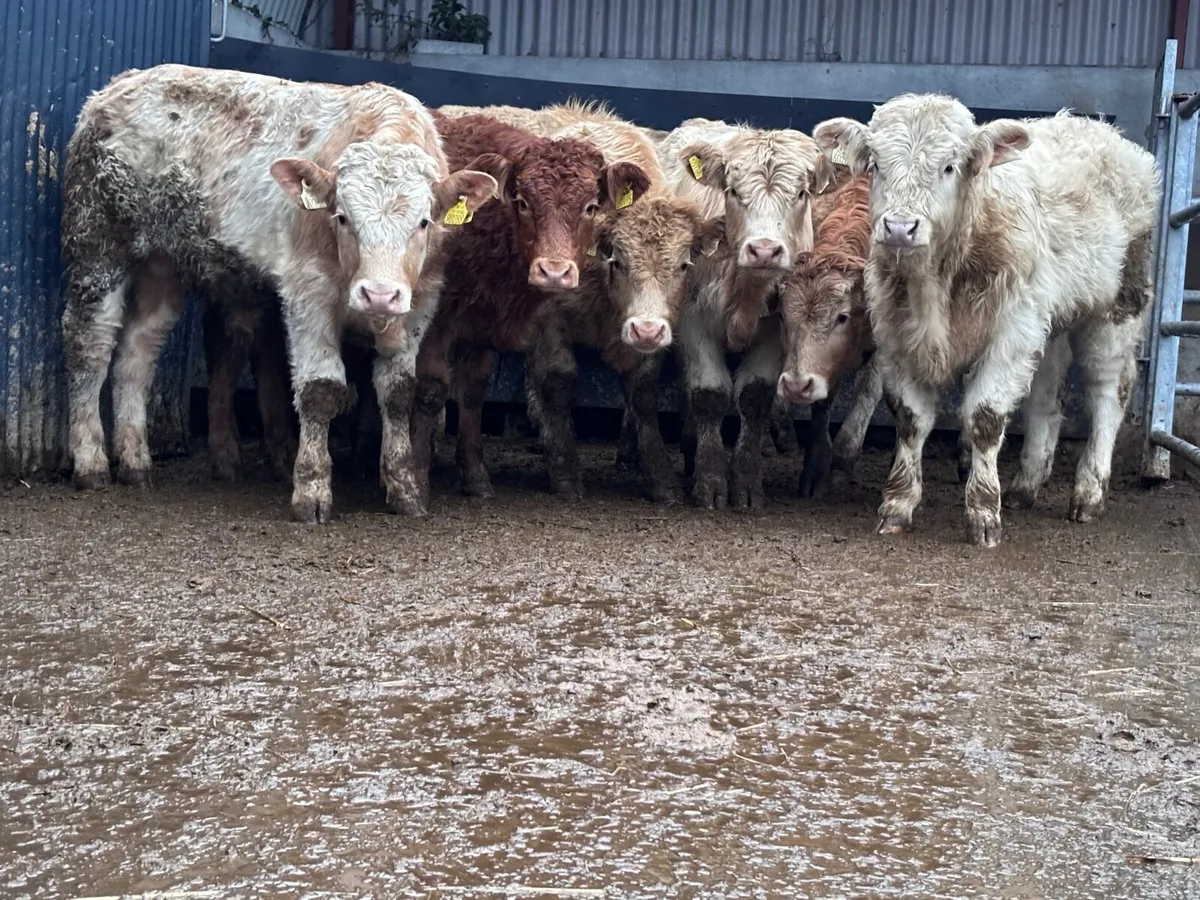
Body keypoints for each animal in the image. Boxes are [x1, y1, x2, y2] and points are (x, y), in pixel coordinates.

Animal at [60, 64, 498, 524]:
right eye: (342, 218)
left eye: (424, 222)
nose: (378, 295)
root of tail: (117, 85)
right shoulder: (308, 291)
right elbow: (321, 390)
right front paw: (311, 490)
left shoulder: (420, 303)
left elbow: (398, 392)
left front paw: (404, 488)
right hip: (97, 243)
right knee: (91, 341)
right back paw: (90, 461)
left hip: (163, 265)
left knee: (138, 349)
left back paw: (135, 460)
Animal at [409, 112, 651, 504]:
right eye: (523, 202)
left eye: (590, 206)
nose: (553, 271)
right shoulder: (433, 323)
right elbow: (430, 390)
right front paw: (414, 476)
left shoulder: (480, 322)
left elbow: (473, 391)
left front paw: (474, 474)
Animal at [657, 118, 834, 509]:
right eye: (734, 191)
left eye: (802, 193)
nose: (764, 251)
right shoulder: (692, 319)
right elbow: (708, 394)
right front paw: (710, 480)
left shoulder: (776, 329)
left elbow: (755, 397)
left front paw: (747, 481)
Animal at [776, 174, 883, 498]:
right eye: (781, 315)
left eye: (842, 317)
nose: (796, 385)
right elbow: (823, 404)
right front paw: (816, 463)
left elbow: (867, 390)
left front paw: (842, 458)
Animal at [814, 94, 1159, 546]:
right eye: (875, 164)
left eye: (949, 166)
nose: (900, 228)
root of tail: (1099, 128)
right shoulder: (898, 335)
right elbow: (910, 419)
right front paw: (899, 504)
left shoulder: (1009, 336)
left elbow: (984, 418)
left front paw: (982, 513)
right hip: (1047, 322)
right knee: (1047, 396)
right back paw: (1026, 485)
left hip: (1118, 307)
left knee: (1107, 393)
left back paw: (1089, 492)